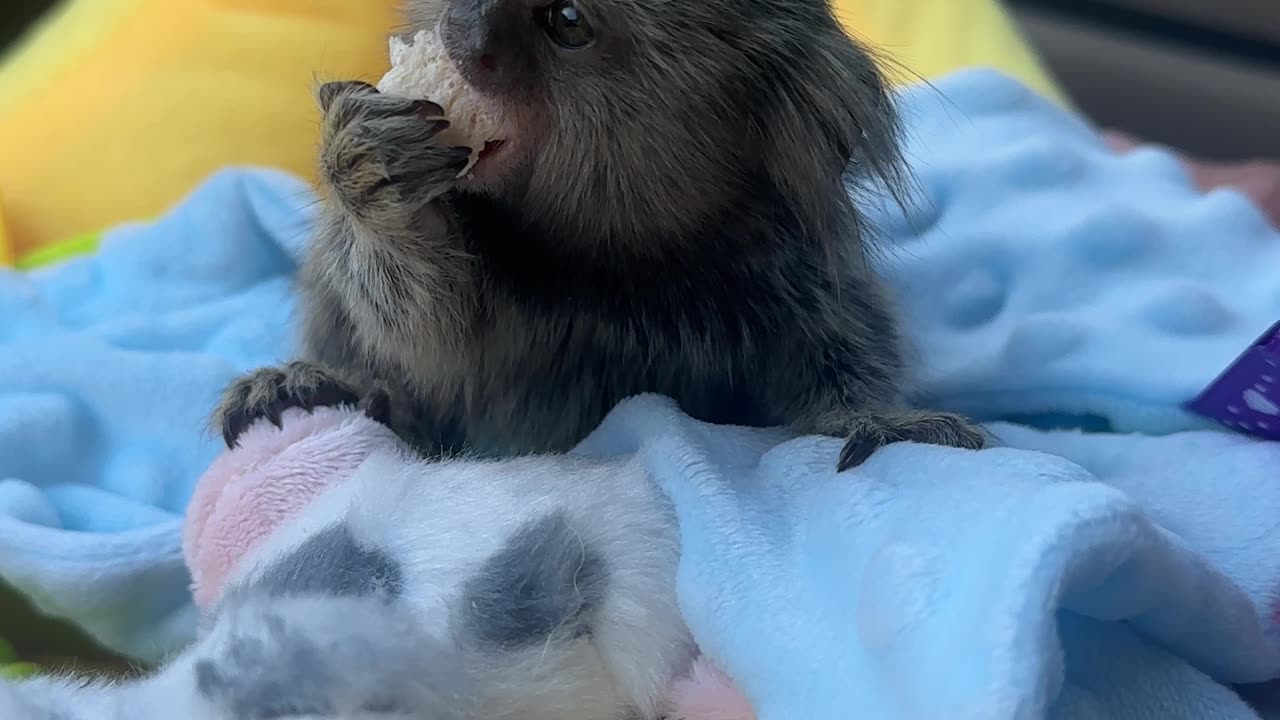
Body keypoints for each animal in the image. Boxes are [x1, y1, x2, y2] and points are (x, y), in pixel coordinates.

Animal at [215, 0, 983, 466]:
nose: (465, 33)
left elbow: (843, 364)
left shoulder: (790, 281)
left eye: (567, 20)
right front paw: (378, 177)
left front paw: (871, 419)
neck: (608, 267)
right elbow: (428, 329)